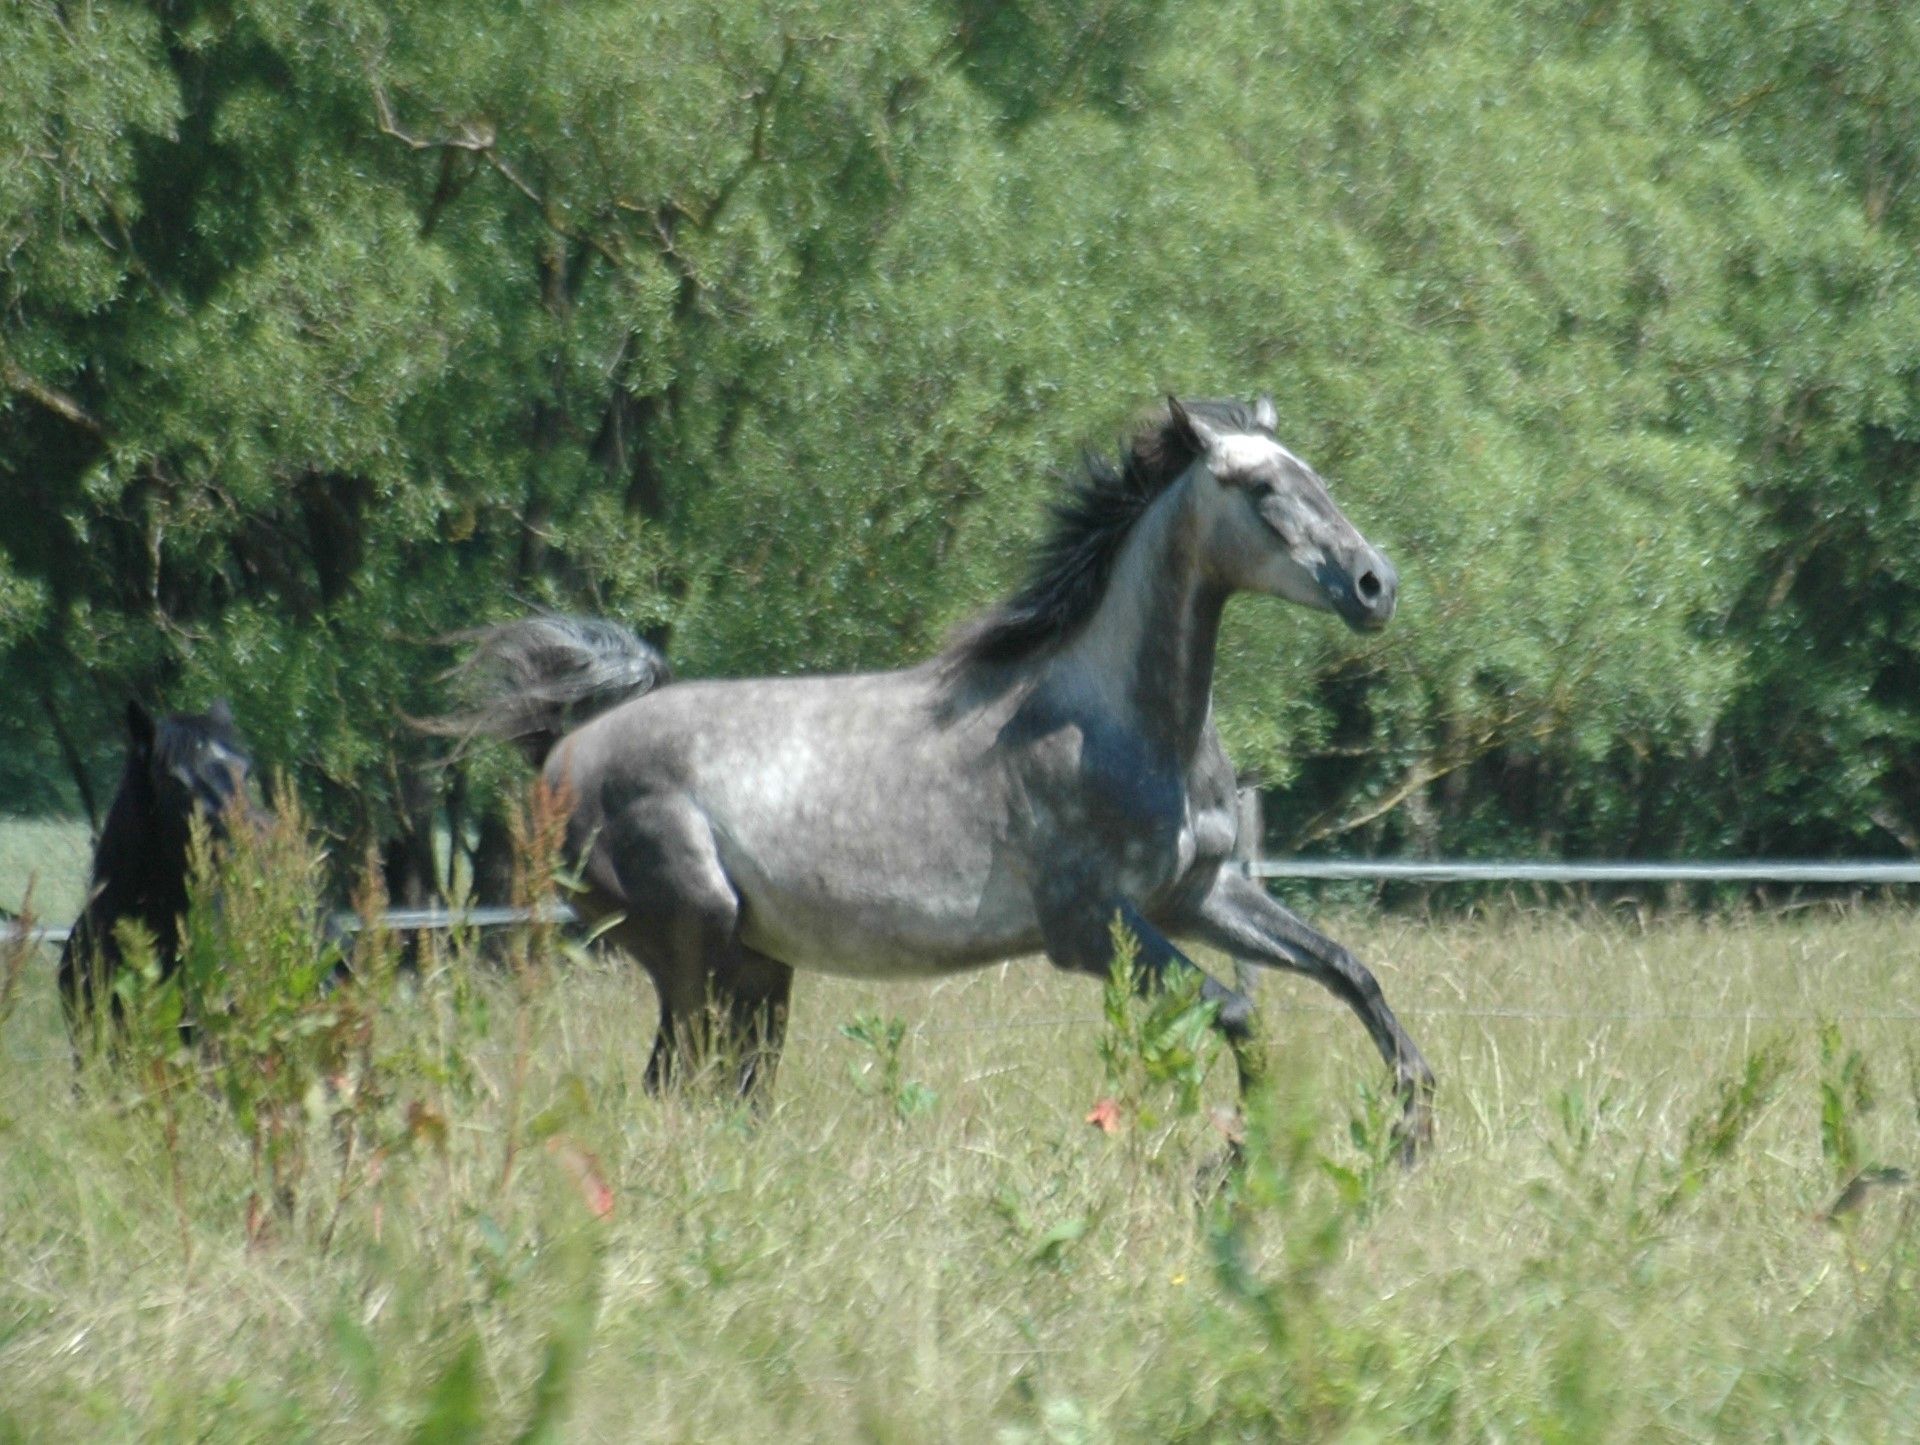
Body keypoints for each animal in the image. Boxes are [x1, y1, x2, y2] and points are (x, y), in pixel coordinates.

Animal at [441, 398, 1435, 1152]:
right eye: (1264, 488)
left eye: (1316, 473)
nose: (1374, 584)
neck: (1115, 724)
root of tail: (563, 749)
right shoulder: (1091, 926)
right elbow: (1236, 1012)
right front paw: (1243, 1152)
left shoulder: (1199, 893)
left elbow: (1351, 971)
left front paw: (1413, 1122)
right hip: (695, 945)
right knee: (678, 1086)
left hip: (756, 966)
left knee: (726, 1091)